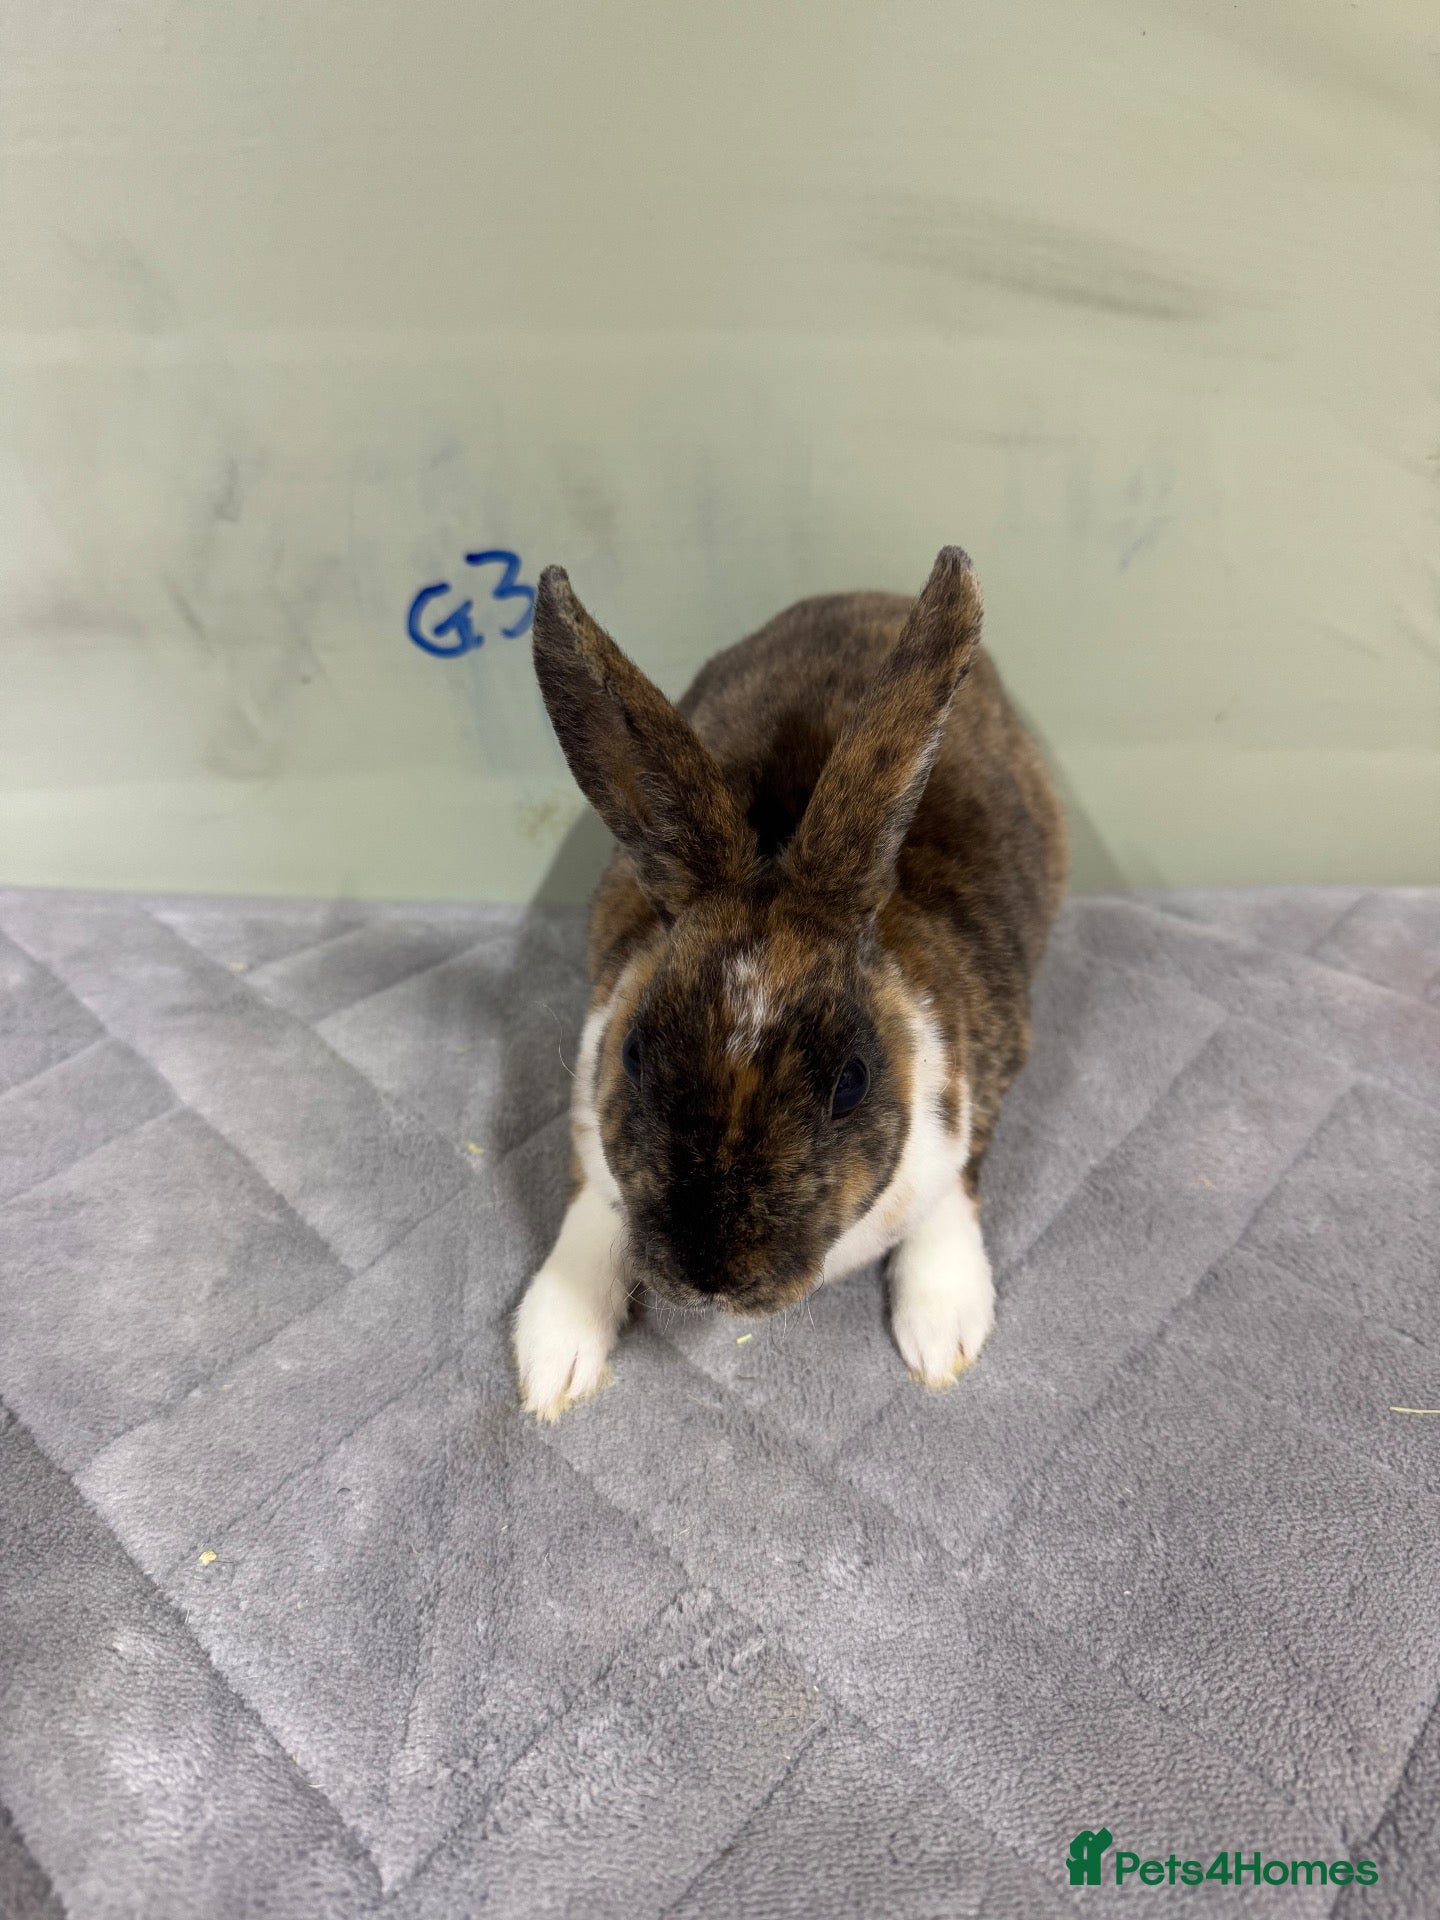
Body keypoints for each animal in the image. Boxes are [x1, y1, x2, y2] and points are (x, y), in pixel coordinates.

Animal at [513, 545, 1067, 1420]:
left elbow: (955, 1195)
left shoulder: (980, 1094)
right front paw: (552, 1360)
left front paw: (942, 1335)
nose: (712, 1278)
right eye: (633, 1054)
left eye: (852, 1082)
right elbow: (587, 1214)